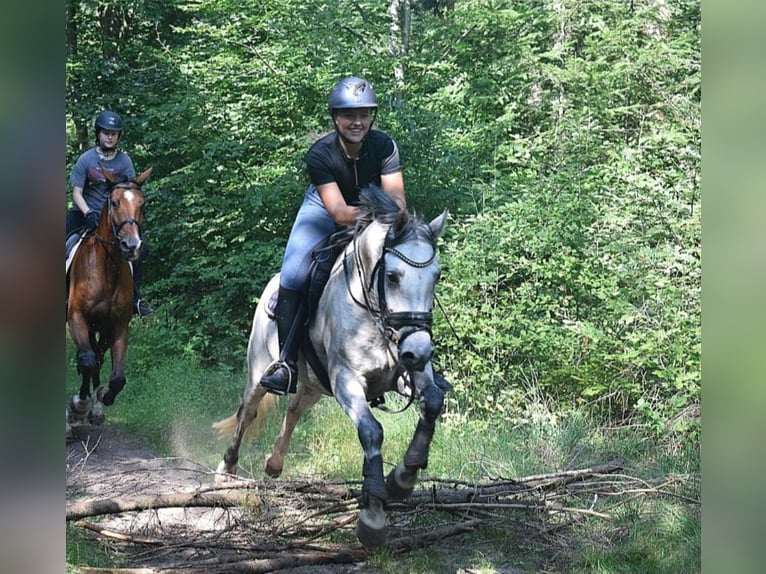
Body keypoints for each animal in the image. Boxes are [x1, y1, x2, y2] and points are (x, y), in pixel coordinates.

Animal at [65, 169, 152, 438]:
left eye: (142, 204)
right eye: (114, 202)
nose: (132, 246)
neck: (106, 266)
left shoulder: (117, 327)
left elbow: (115, 376)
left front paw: (101, 398)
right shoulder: (77, 318)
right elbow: (86, 360)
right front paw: (78, 405)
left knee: (97, 358)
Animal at [213, 187, 450, 552]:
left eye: (436, 276)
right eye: (392, 276)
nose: (420, 351)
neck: (374, 315)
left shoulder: (410, 374)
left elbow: (433, 403)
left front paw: (404, 477)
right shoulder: (346, 380)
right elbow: (372, 431)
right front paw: (373, 517)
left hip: (313, 385)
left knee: (295, 409)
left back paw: (274, 463)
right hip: (260, 374)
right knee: (247, 412)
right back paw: (226, 471)